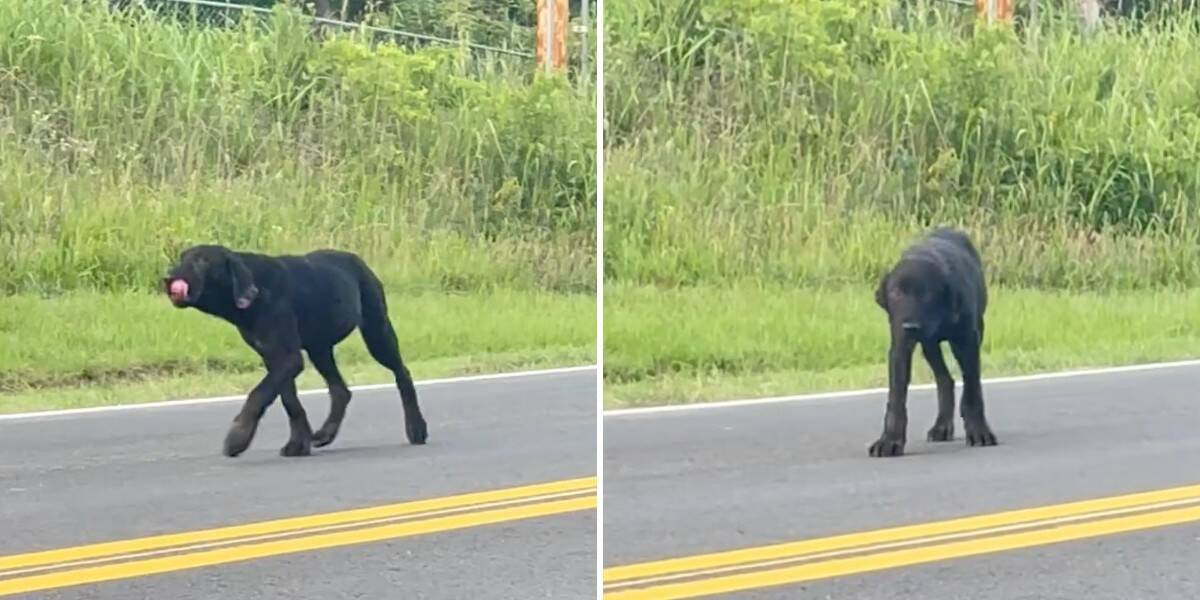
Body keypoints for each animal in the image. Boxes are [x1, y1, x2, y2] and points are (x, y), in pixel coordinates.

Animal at [162, 246, 429, 456]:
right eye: (182, 257)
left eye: (202, 260)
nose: (167, 278)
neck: (256, 293)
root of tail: (358, 259)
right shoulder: (274, 357)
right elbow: (289, 401)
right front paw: (298, 443)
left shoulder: (288, 358)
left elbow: (258, 394)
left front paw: (238, 437)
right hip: (319, 348)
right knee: (340, 391)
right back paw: (325, 433)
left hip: (377, 333)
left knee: (402, 373)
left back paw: (416, 427)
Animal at [868, 226, 998, 456]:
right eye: (896, 292)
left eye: (927, 294)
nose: (910, 327)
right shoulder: (900, 347)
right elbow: (896, 398)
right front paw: (890, 440)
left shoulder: (968, 341)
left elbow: (973, 389)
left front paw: (979, 431)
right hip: (929, 346)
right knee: (945, 380)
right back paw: (941, 426)